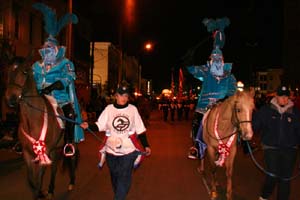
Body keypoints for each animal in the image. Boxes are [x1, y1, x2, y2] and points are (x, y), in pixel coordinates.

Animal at [4, 57, 79, 199]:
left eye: (25, 71)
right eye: (6, 71)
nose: (11, 99)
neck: (32, 119)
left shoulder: (45, 151)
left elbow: (38, 179)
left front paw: (40, 192)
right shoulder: (27, 153)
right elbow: (32, 181)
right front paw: (41, 193)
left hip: (68, 143)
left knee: (71, 158)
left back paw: (71, 183)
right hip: (56, 148)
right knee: (54, 167)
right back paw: (50, 190)